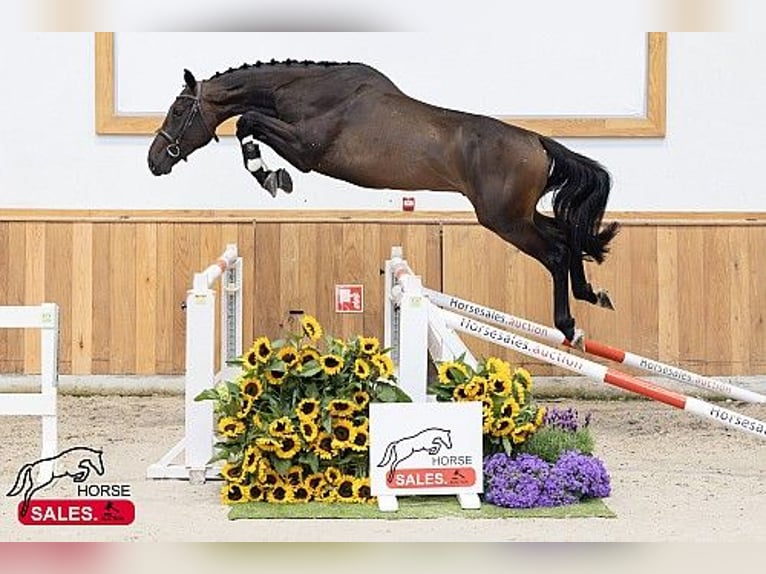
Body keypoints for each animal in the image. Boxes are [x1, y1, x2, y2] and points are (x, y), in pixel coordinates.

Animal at [147, 60, 619, 345]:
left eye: (178, 111)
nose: (154, 161)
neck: (306, 90)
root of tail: (538, 142)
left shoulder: (306, 150)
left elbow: (248, 121)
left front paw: (271, 178)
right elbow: (250, 122)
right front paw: (270, 176)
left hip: (505, 220)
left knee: (556, 251)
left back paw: (569, 325)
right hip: (519, 215)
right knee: (569, 236)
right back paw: (592, 293)